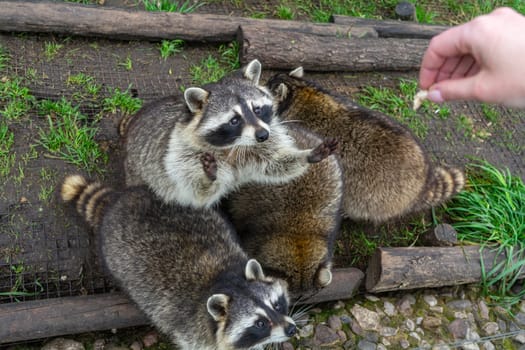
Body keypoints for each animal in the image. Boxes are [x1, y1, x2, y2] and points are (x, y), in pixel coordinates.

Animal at [61, 175, 296, 350]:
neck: (225, 280)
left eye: (277, 304)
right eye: (260, 323)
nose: (291, 329)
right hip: (114, 257)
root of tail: (118, 201)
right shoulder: (194, 333)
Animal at [122, 59, 336, 209]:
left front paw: (306, 155)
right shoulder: (180, 152)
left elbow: (275, 163)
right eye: (234, 120)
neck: (233, 144)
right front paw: (208, 177)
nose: (262, 135)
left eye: (257, 109)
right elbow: (195, 191)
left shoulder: (262, 141)